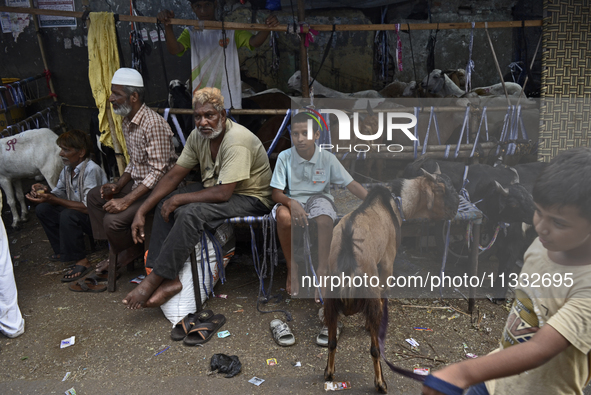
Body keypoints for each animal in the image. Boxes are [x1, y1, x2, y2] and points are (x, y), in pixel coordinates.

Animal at [322, 169, 460, 394]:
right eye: (441, 189)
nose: (456, 209)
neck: (395, 203)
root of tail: (348, 250)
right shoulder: (387, 261)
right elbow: (385, 294)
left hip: (329, 296)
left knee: (332, 342)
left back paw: (329, 372)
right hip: (369, 284)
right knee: (375, 349)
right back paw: (381, 382)